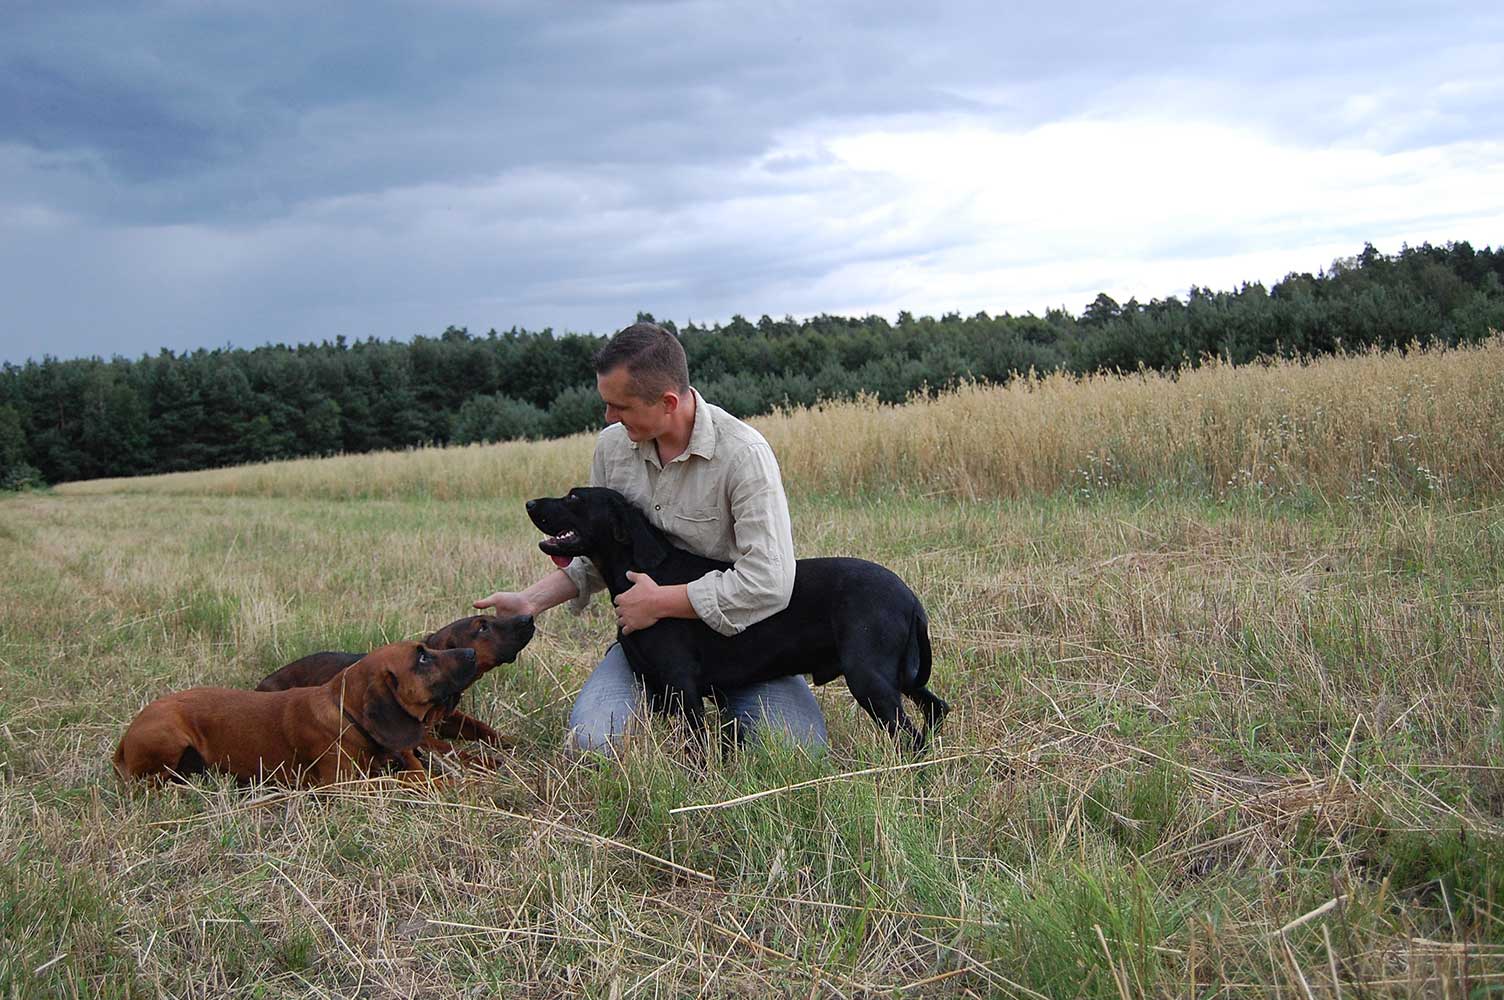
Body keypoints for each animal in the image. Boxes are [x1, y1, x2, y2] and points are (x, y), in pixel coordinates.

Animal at [114, 642, 479, 786]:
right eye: (422, 658)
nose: (472, 653)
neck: (345, 715)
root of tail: (123, 743)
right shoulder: (343, 785)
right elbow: (401, 782)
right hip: (167, 736)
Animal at [526, 487, 948, 750]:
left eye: (574, 496)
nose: (529, 504)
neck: (642, 572)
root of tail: (910, 597)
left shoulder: (682, 686)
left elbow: (696, 748)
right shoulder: (658, 690)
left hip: (869, 677)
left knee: (911, 737)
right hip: (897, 676)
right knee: (936, 709)